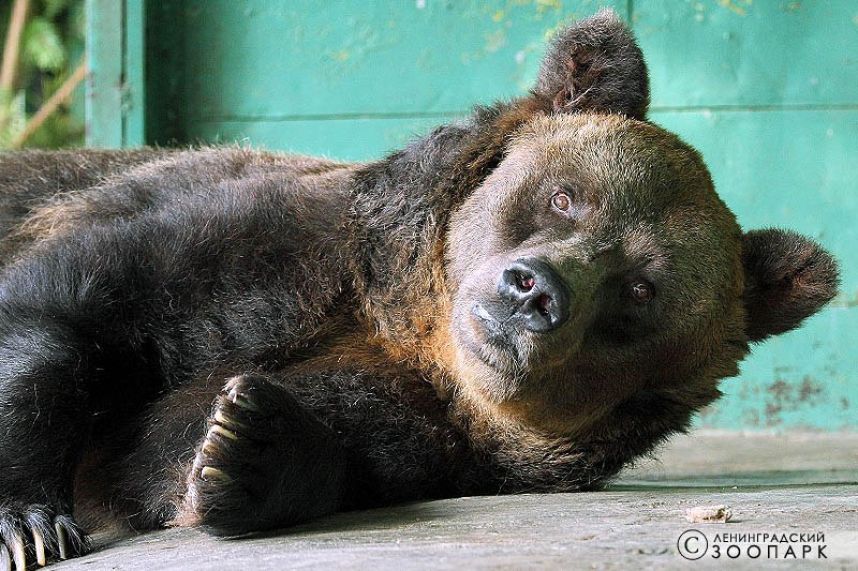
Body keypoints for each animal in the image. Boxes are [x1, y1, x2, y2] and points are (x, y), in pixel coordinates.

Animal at [0, 11, 836, 568]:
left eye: (638, 288)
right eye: (567, 196)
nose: (533, 290)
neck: (410, 324)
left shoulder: (414, 415)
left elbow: (178, 453)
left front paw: (250, 441)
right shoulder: (259, 242)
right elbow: (67, 308)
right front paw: (28, 520)